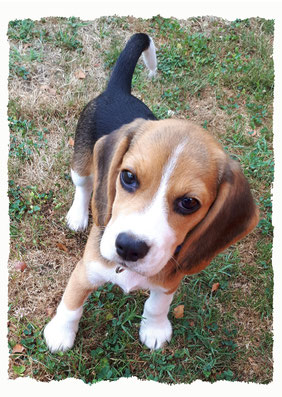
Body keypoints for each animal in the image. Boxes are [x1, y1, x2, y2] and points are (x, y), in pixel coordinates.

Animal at [44, 33, 260, 350]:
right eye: (128, 177)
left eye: (189, 203)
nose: (129, 247)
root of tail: (117, 91)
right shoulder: (86, 269)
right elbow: (71, 303)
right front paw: (60, 333)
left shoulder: (170, 280)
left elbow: (157, 305)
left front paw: (154, 328)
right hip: (81, 161)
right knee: (84, 187)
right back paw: (78, 215)